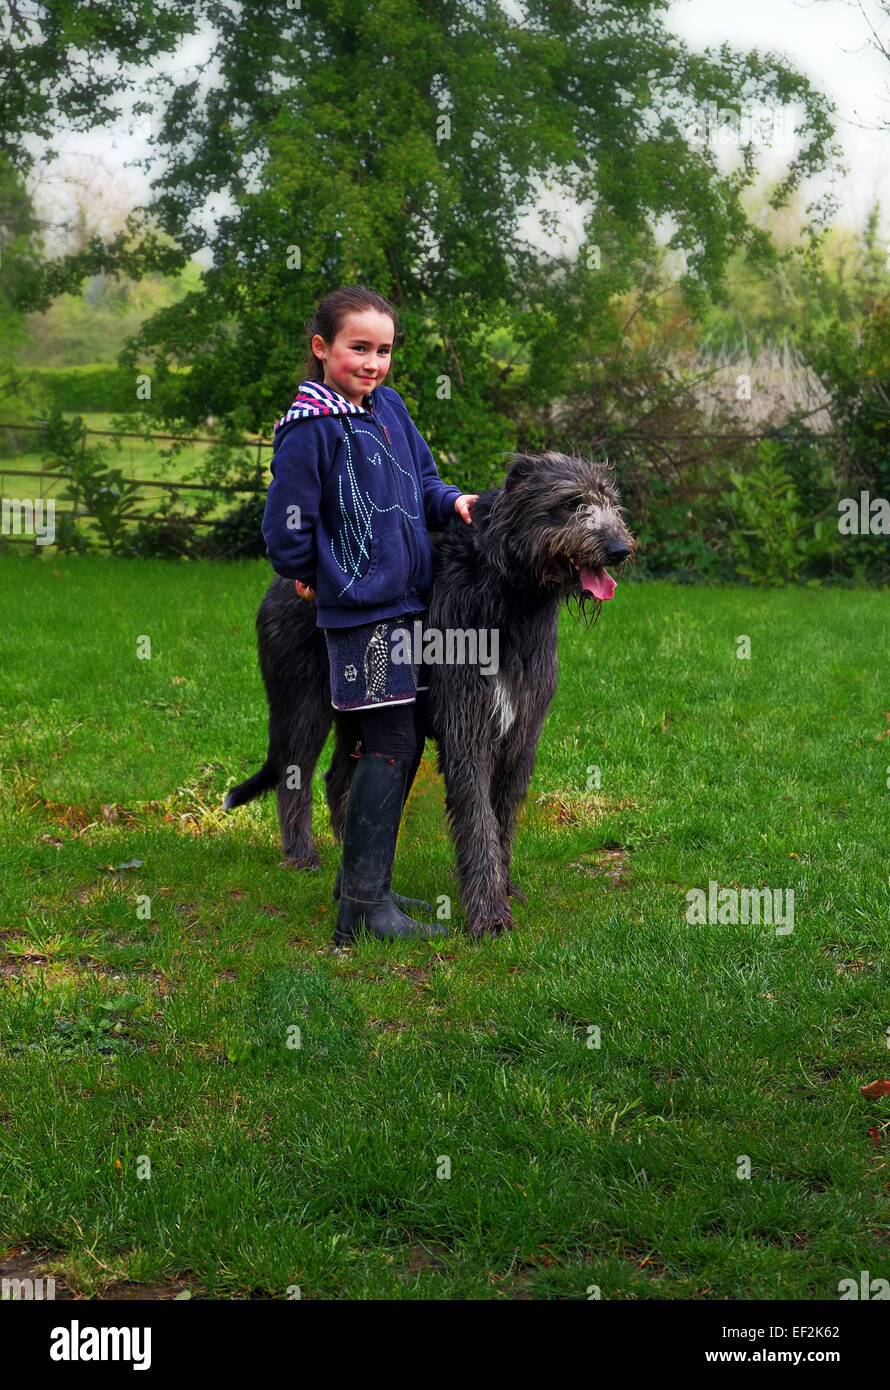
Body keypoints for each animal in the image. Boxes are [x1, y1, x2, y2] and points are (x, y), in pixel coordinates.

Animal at [225, 450, 636, 939]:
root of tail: (283, 580)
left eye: (611, 501)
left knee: (340, 779)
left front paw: (505, 887)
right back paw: (302, 853)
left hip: (359, 710)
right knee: (296, 776)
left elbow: (502, 817)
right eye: (572, 503)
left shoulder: (522, 732)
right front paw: (489, 913)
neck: (506, 595)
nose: (621, 549)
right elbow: (478, 819)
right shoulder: (467, 725)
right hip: (303, 703)